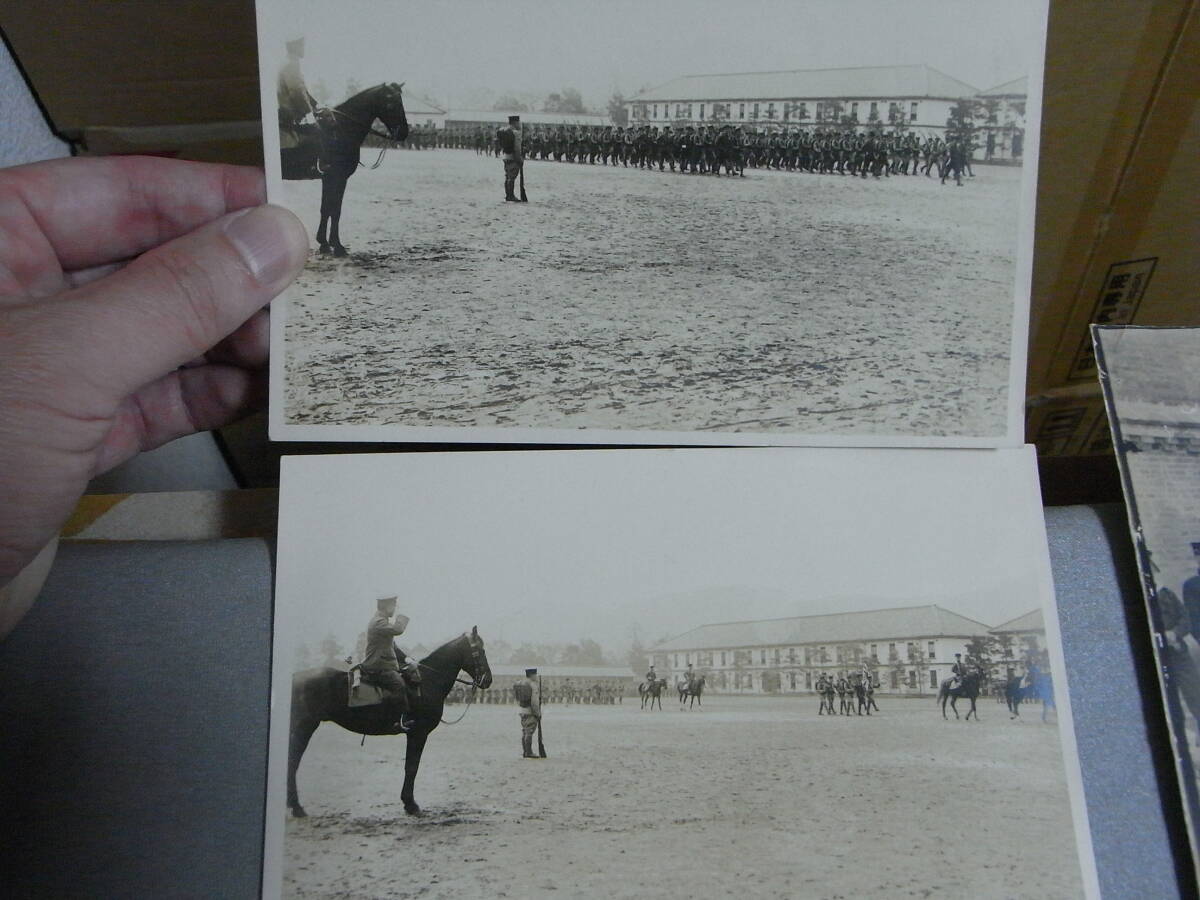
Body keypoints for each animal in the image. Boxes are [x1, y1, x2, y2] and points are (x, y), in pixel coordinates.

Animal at [279, 82, 408, 256]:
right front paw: (337, 245)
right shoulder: (337, 177)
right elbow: (335, 210)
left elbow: (326, 209)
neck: (340, 129)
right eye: (391, 103)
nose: (404, 133)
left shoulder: (329, 178)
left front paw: (324, 244)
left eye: (401, 101)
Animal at [288, 628, 489, 820]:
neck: (427, 681)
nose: (488, 680)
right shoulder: (418, 733)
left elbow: (411, 767)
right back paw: (296, 807)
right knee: (293, 761)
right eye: (480, 650)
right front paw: (411, 804)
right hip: (304, 727)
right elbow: (411, 767)